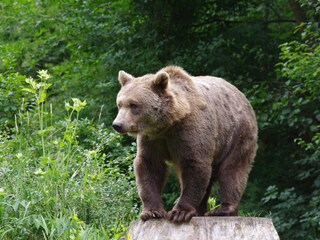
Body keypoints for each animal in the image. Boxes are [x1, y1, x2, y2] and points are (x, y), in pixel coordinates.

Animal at [112, 65, 258, 223]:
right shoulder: (152, 139)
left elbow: (195, 166)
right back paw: (200, 210)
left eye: (134, 104)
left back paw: (222, 210)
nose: (117, 124)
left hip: (237, 135)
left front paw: (180, 212)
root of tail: (241, 95)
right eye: (120, 104)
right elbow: (149, 166)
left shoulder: (190, 132)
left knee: (232, 170)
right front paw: (152, 212)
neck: (168, 124)